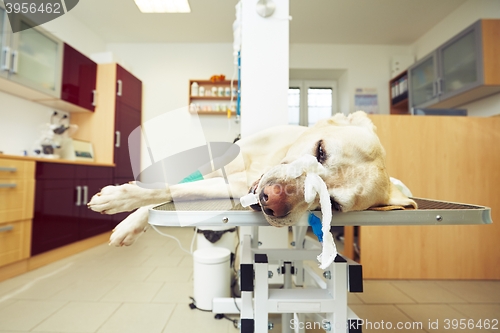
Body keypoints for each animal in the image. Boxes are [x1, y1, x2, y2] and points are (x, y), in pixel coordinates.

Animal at [88, 110, 416, 245]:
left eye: (333, 205)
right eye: (321, 151)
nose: (273, 201)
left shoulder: (231, 185)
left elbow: (173, 191)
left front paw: (127, 214)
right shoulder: (219, 168)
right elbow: (169, 187)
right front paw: (125, 209)